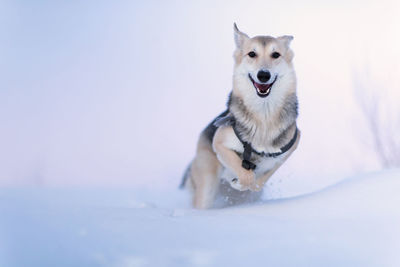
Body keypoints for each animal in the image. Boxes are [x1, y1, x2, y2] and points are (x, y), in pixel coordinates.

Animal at [181, 24, 300, 210]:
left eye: (275, 55)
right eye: (252, 54)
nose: (263, 75)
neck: (264, 116)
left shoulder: (290, 148)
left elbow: (259, 181)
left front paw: (247, 182)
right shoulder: (219, 142)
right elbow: (244, 173)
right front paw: (239, 180)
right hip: (207, 183)